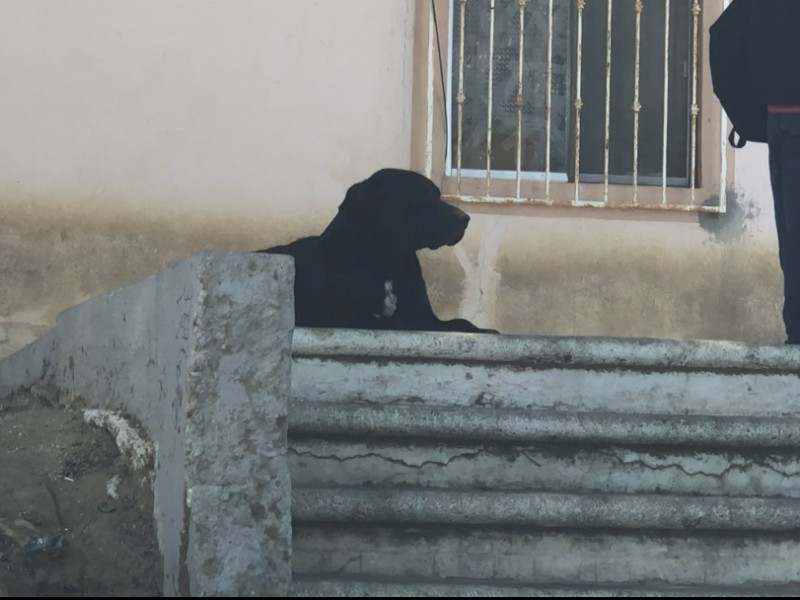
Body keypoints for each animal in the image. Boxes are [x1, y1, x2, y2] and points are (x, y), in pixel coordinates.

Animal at [258, 169, 494, 332]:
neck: (386, 263)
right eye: (419, 196)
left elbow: (460, 322)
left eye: (437, 195)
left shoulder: (424, 313)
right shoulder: (346, 318)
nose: (465, 219)